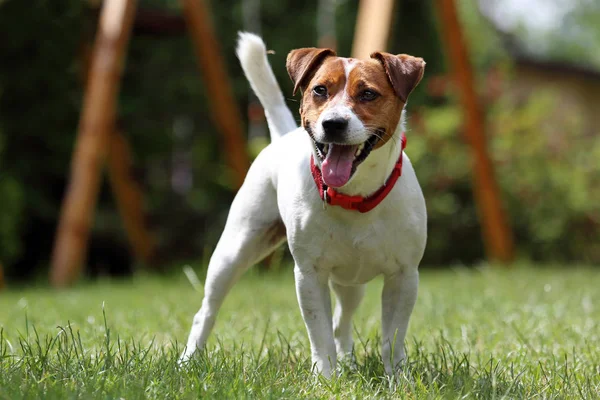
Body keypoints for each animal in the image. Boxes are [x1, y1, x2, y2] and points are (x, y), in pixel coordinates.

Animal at [179, 32, 426, 378]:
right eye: (320, 89)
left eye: (368, 93)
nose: (333, 124)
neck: (353, 197)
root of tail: (283, 135)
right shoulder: (310, 275)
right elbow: (319, 334)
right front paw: (326, 378)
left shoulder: (404, 276)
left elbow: (392, 338)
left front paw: (396, 379)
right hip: (233, 253)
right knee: (206, 311)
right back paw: (188, 360)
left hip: (352, 282)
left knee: (342, 323)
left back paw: (348, 361)